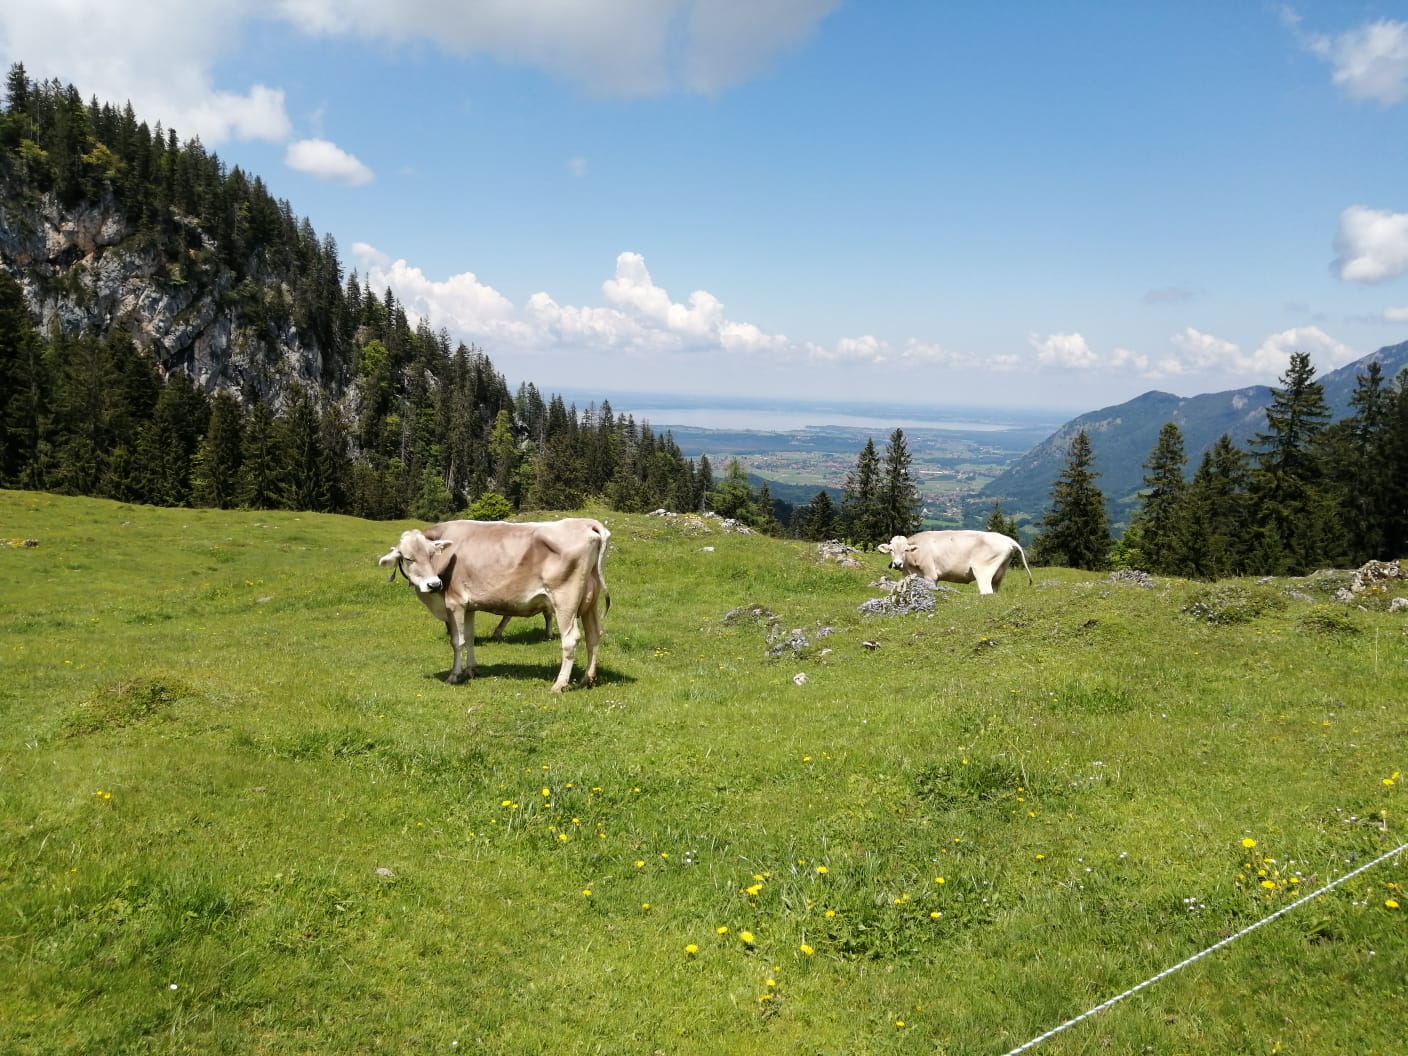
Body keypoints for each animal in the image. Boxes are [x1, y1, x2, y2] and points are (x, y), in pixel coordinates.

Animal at [382, 518, 608, 689]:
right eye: (408, 558)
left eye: (431, 555)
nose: (434, 584)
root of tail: (586, 523)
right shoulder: (470, 606)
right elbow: (470, 638)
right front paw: (472, 670)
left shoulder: (455, 603)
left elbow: (457, 641)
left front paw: (455, 675)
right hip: (590, 601)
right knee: (594, 635)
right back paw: (587, 679)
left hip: (565, 601)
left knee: (571, 639)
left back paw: (559, 684)